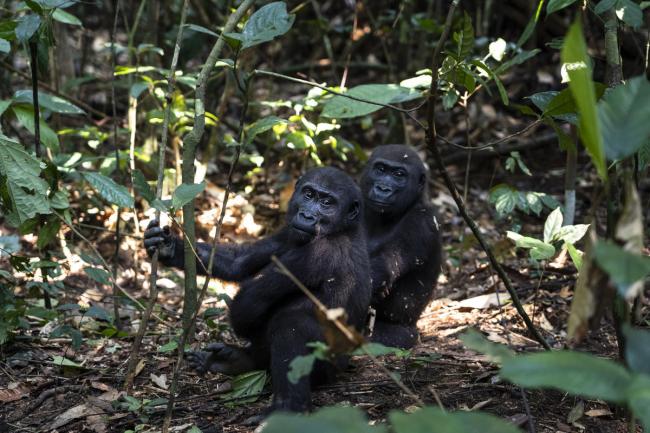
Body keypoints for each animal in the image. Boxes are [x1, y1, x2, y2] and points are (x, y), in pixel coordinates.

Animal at [142, 166, 370, 412]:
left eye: (327, 203)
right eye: (308, 195)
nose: (307, 215)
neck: (342, 229)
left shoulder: (320, 253)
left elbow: (250, 301)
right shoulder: (286, 232)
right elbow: (239, 262)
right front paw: (168, 247)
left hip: (326, 369)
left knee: (291, 325)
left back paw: (289, 406)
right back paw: (233, 360)